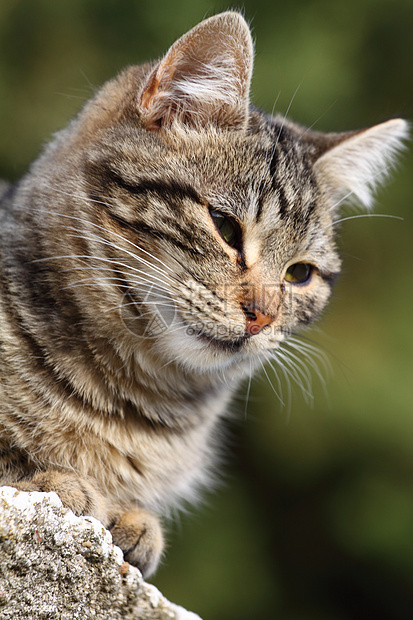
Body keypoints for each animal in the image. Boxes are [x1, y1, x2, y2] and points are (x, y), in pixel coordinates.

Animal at [0, 12, 408, 580]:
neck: (138, 402)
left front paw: (133, 519)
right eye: (225, 227)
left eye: (300, 274)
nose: (262, 316)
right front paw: (60, 481)